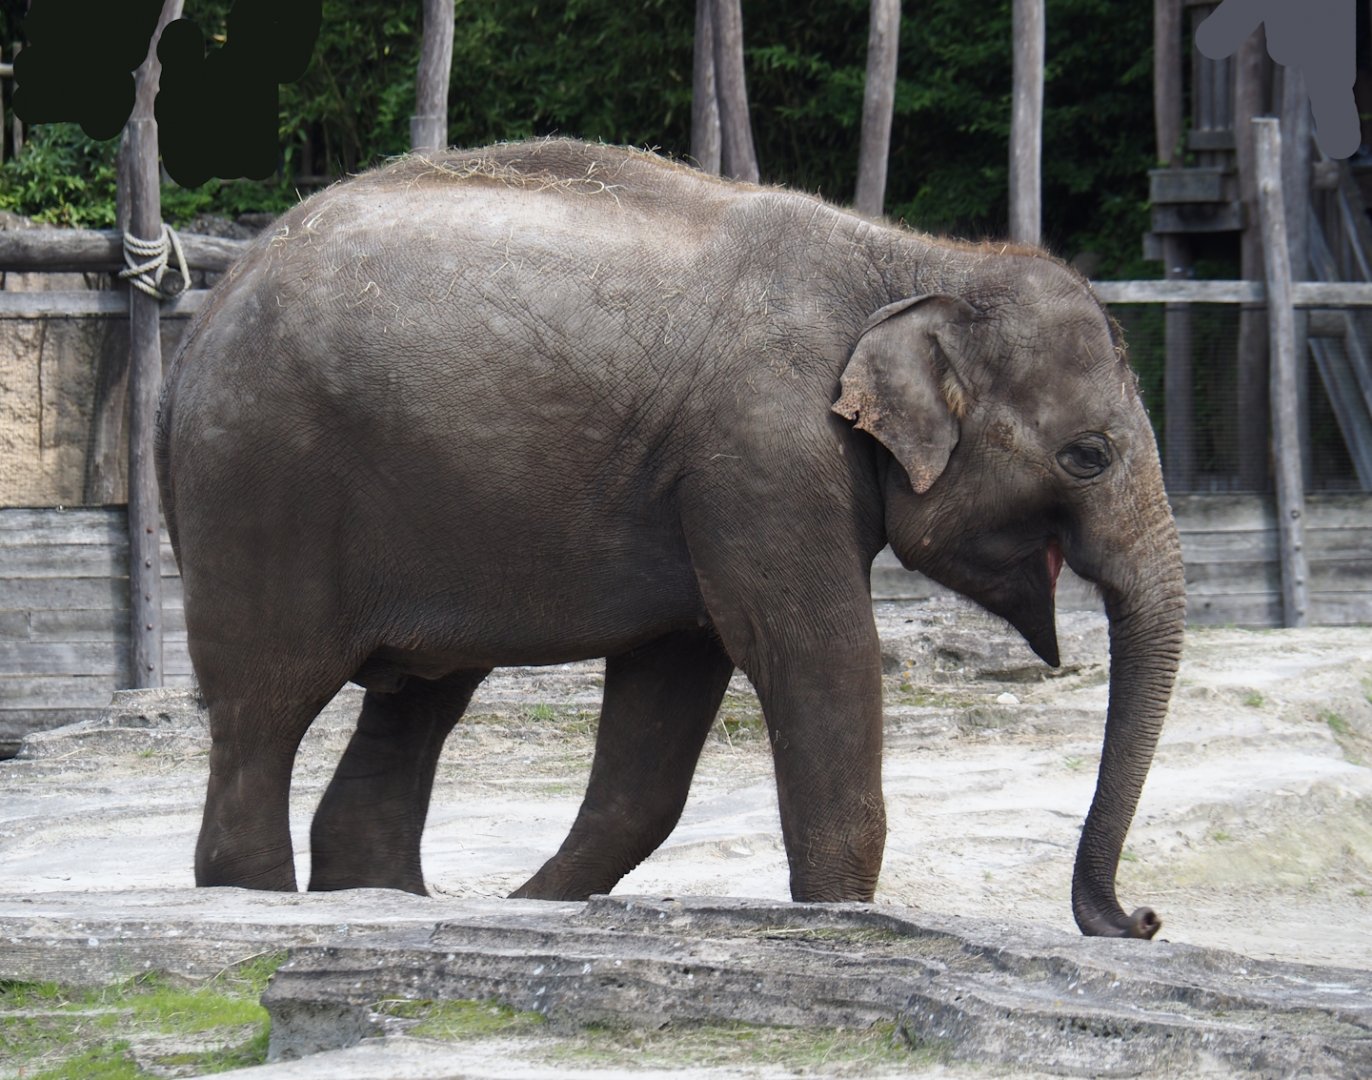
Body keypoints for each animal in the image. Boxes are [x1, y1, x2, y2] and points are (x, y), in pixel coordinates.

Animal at [156, 138, 1184, 939]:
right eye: (1088, 456)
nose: (1142, 918)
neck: (913, 260)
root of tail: (202, 319)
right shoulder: (763, 455)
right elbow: (817, 655)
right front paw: (841, 918)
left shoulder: (706, 486)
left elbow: (669, 697)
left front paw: (535, 907)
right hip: (260, 489)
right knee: (265, 709)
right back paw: (259, 890)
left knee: (417, 703)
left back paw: (383, 898)